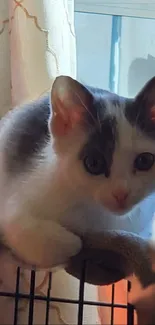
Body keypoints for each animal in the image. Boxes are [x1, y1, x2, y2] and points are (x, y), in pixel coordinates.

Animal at [0, 76, 155, 268]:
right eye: (94, 163)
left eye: (145, 161)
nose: (121, 193)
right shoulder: (15, 208)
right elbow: (73, 244)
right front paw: (75, 241)